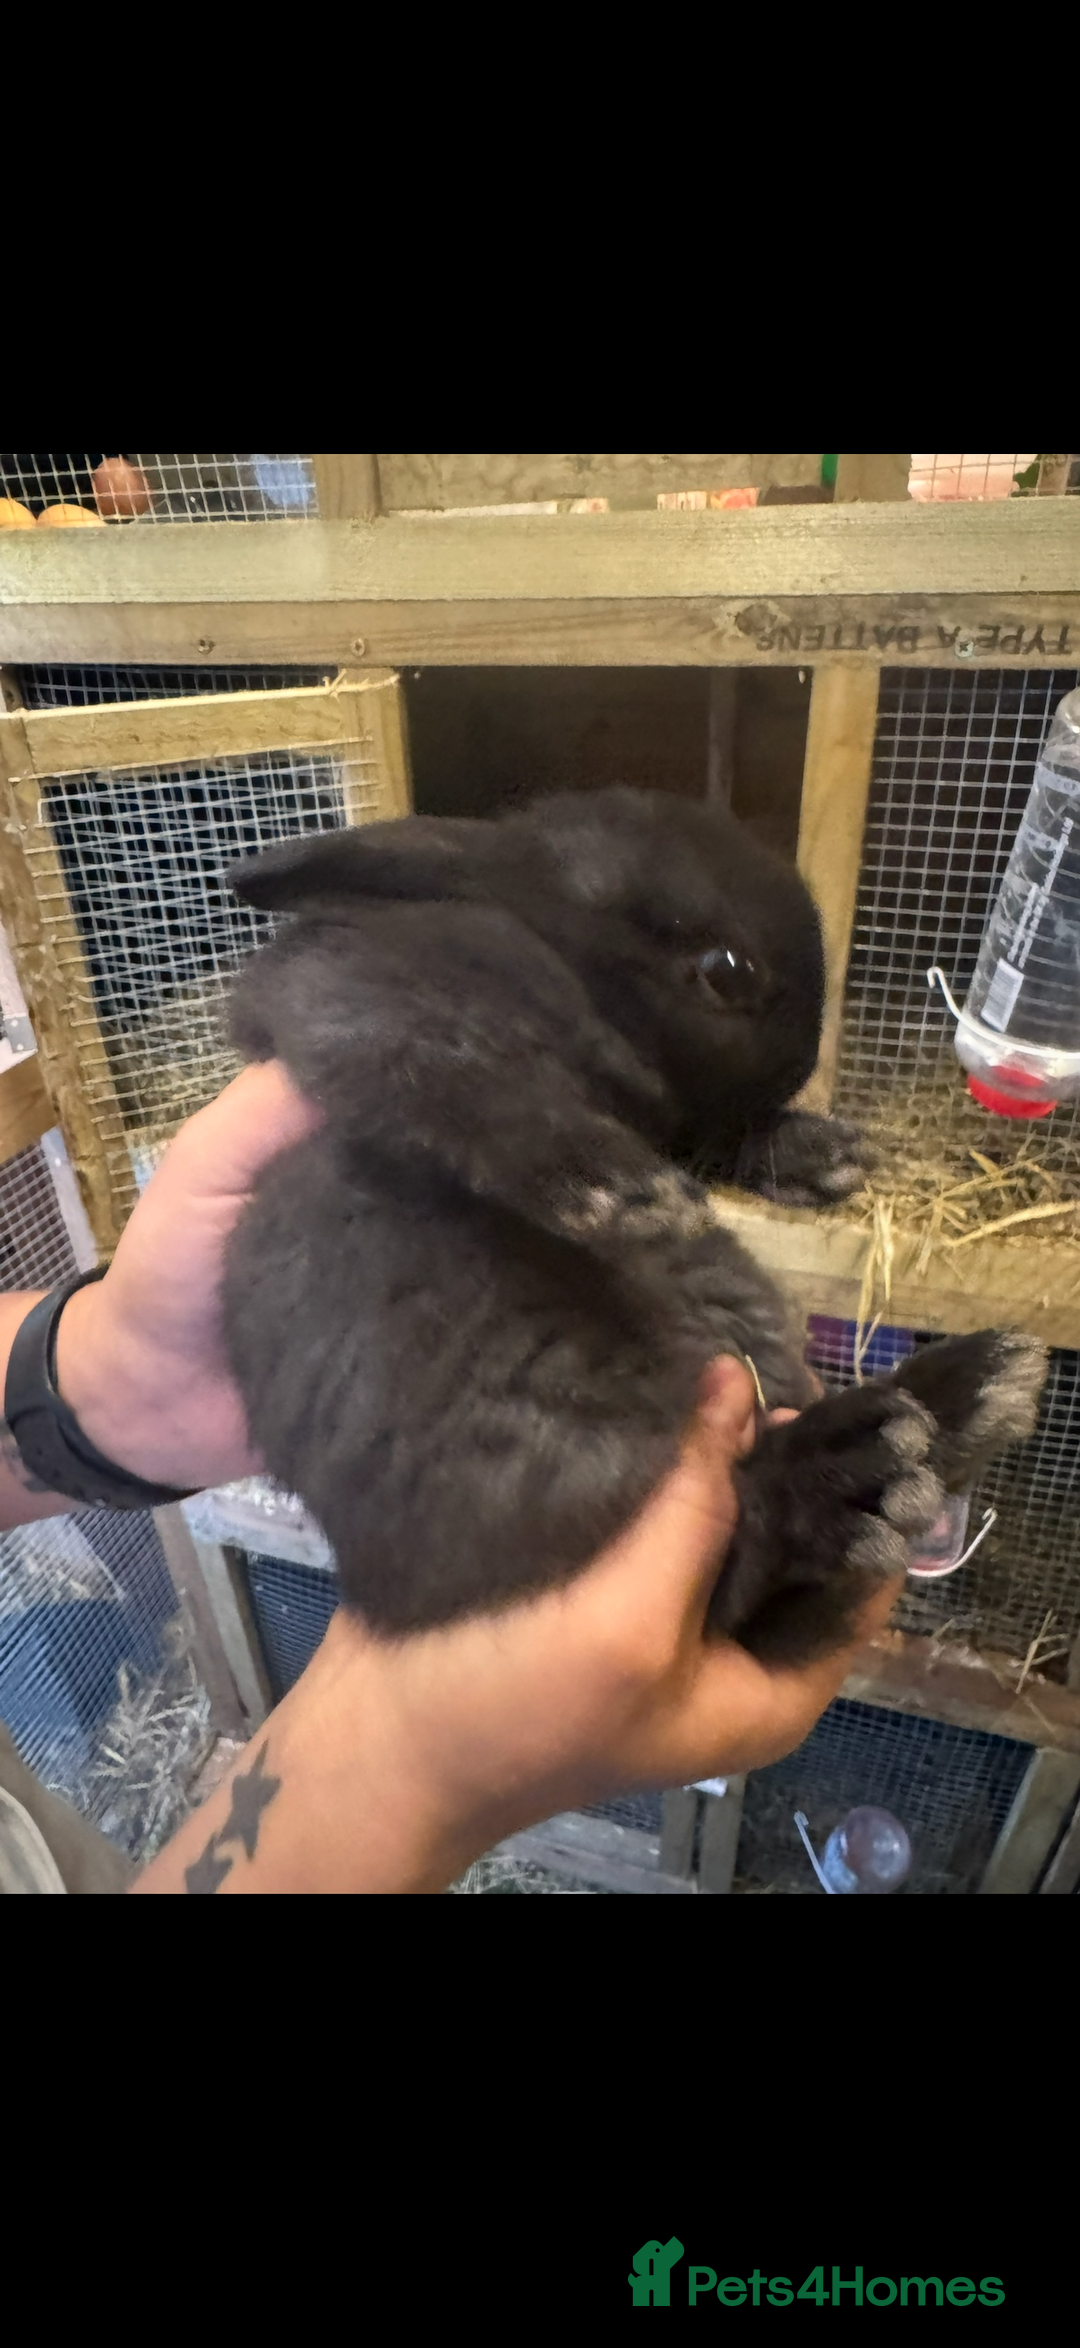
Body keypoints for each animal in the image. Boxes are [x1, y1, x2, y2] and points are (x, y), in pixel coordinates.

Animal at [220, 786, 1047, 1667]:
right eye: (725, 971)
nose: (798, 1070)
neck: (568, 972)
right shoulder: (369, 1000)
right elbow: (465, 1080)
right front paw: (624, 1193)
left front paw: (825, 1156)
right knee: (738, 1579)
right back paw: (863, 1471)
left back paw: (967, 1395)